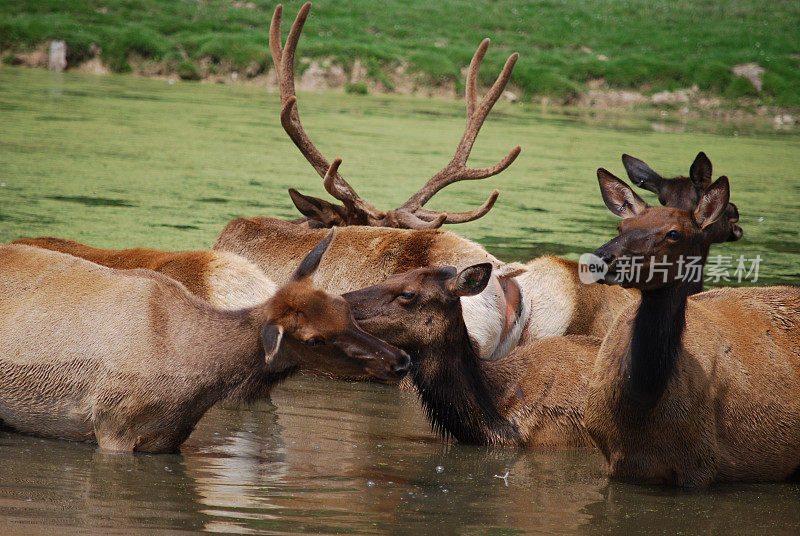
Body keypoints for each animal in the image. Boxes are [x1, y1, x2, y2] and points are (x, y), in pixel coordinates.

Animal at [580, 171, 800, 486]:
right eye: (621, 225)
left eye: (674, 233)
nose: (600, 258)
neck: (639, 404)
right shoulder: (613, 461)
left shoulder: (701, 463)